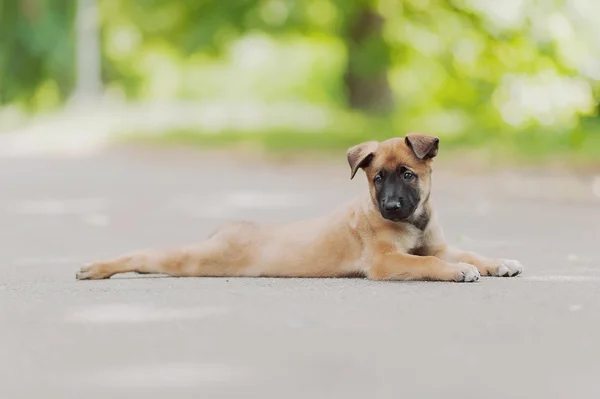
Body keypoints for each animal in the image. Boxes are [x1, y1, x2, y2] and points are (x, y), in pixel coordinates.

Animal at [76, 135, 520, 284]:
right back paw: (95, 267)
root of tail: (230, 228)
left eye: (408, 175)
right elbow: (428, 264)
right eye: (378, 178)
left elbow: (466, 251)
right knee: (147, 255)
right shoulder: (385, 262)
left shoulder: (437, 245)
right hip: (197, 259)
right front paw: (460, 272)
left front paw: (499, 263)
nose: (392, 206)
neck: (415, 221)